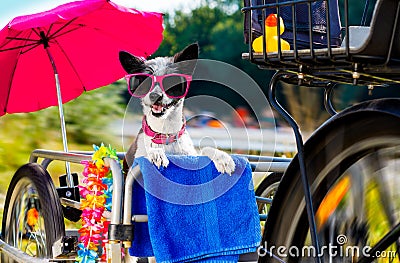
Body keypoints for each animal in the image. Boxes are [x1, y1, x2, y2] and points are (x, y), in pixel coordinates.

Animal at [120, 43, 236, 177]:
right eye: (146, 81)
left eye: (170, 80)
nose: (155, 95)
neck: (165, 135)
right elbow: (149, 152)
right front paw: (156, 153)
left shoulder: (191, 156)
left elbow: (205, 149)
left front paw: (222, 157)